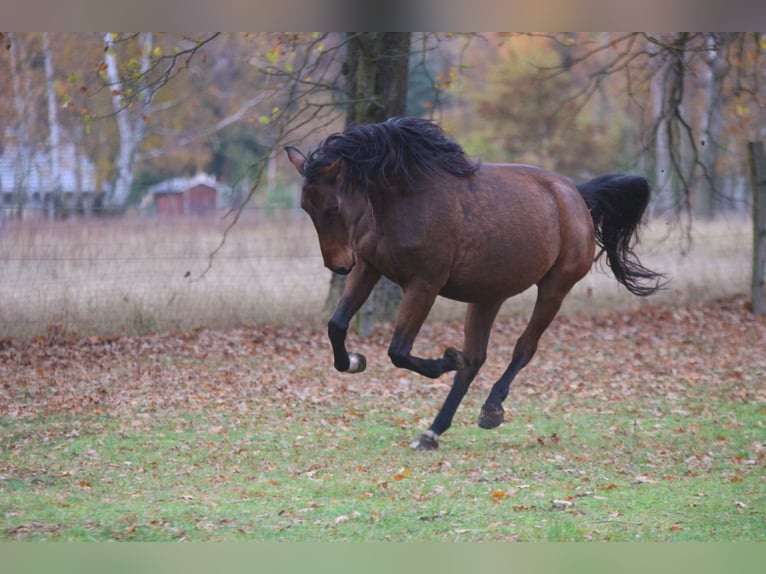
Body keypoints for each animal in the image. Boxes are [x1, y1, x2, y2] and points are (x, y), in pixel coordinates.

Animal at [288, 115, 664, 452]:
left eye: (333, 207)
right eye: (305, 207)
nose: (338, 265)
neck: (405, 199)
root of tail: (575, 195)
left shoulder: (424, 284)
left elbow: (399, 351)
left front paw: (447, 359)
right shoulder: (367, 267)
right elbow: (337, 326)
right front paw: (354, 361)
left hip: (554, 288)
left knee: (523, 348)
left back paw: (491, 409)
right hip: (488, 296)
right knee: (477, 360)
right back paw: (432, 432)